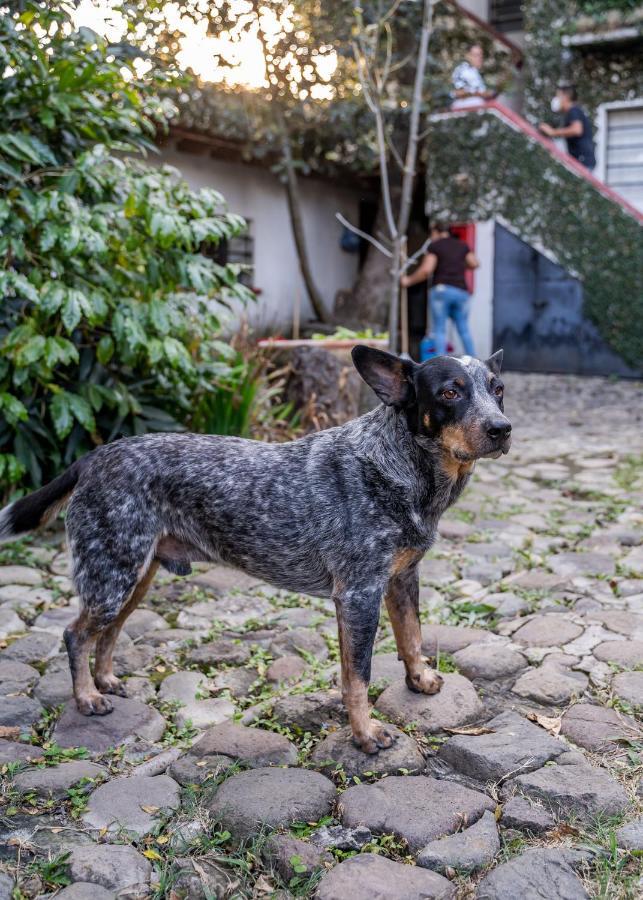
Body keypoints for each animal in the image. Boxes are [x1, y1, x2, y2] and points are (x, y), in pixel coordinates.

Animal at [0, 344, 512, 752]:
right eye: (449, 393)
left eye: (498, 389)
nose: (501, 428)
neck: (401, 469)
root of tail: (93, 457)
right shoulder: (358, 594)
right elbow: (358, 676)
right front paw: (365, 734)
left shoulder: (402, 578)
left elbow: (412, 637)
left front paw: (419, 679)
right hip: (113, 574)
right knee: (76, 634)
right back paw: (87, 697)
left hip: (133, 575)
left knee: (106, 634)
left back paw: (105, 680)